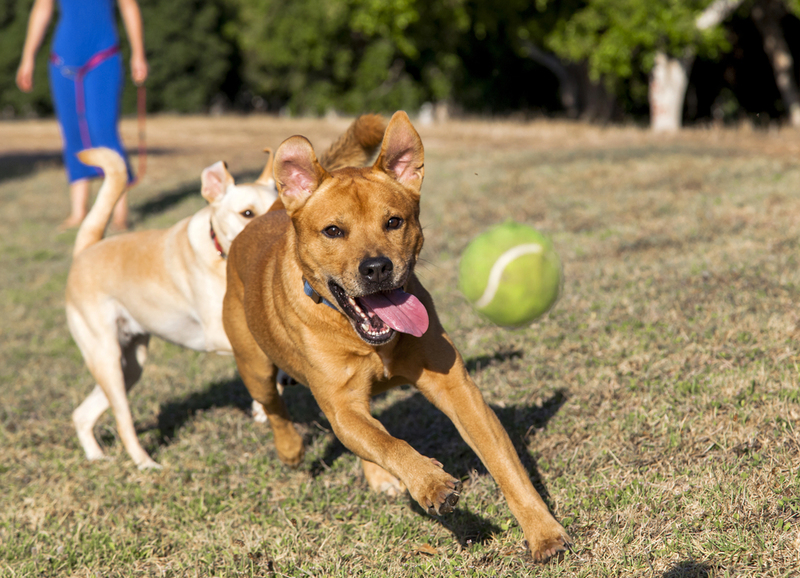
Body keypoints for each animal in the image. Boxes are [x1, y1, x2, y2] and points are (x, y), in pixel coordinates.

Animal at [222, 109, 572, 560]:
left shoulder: (457, 389)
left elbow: (504, 463)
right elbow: (389, 444)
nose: (376, 268)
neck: (364, 337)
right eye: (333, 231)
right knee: (276, 405)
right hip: (254, 365)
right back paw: (292, 450)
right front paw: (430, 483)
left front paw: (543, 532)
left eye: (393, 222)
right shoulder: (342, 404)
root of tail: (271, 211)